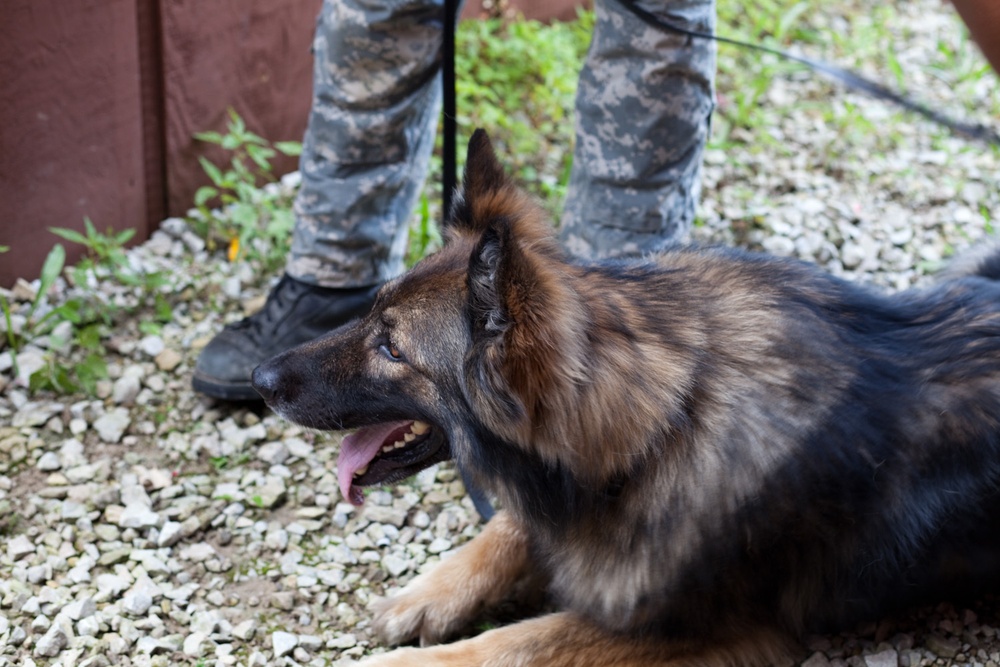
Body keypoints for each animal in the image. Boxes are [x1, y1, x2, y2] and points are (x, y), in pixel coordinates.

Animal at [252, 130, 1000, 667]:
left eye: (391, 347)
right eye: (369, 312)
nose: (261, 380)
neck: (670, 416)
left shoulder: (695, 629)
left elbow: (514, 644)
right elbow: (511, 527)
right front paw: (429, 593)